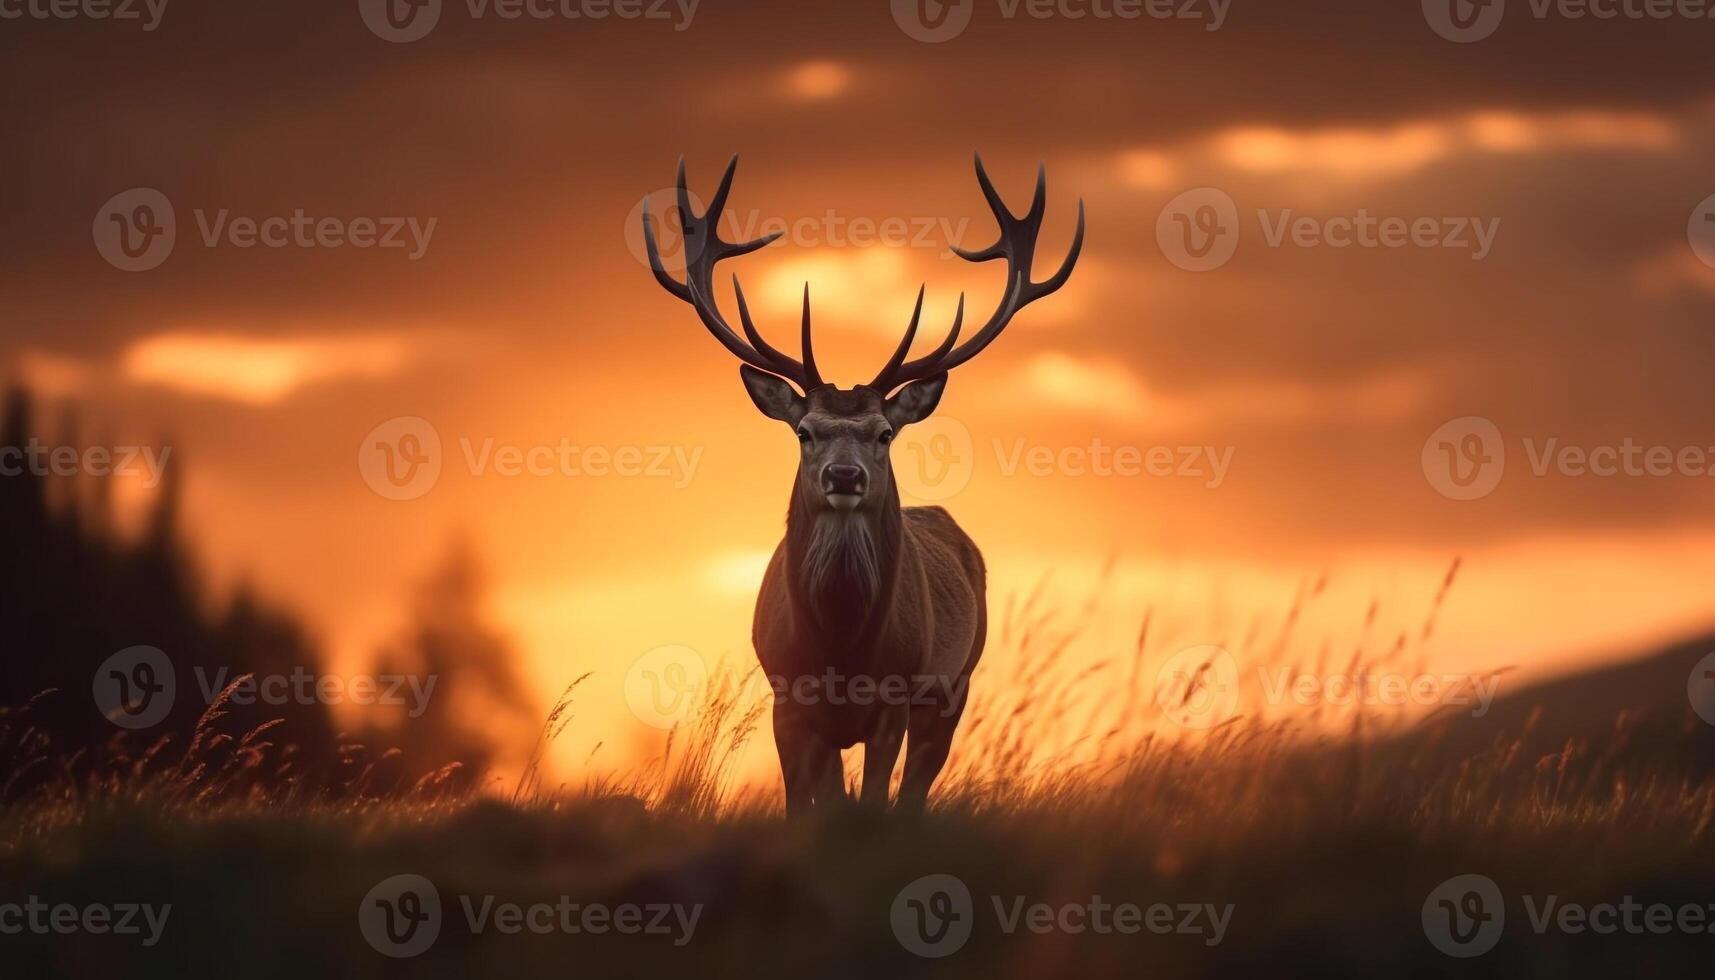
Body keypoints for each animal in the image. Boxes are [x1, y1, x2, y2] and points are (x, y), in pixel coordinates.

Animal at [644, 155, 1083, 813]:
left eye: (884, 433)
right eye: (804, 431)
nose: (844, 475)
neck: (842, 652)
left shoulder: (895, 700)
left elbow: (876, 800)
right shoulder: (786, 700)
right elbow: (808, 808)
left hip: (956, 685)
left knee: (917, 789)